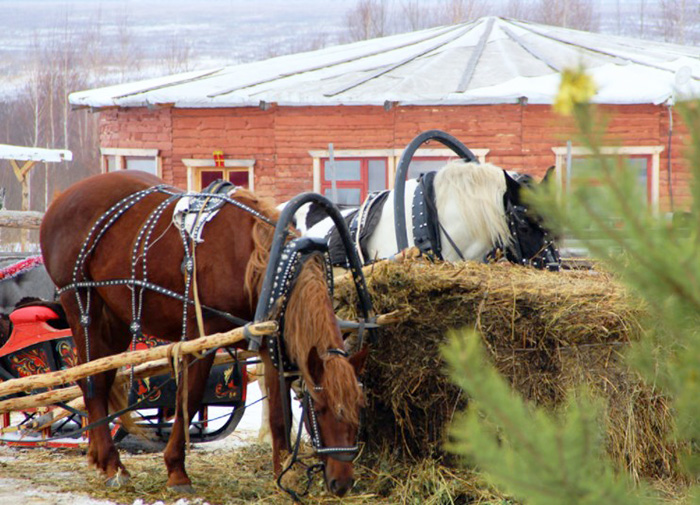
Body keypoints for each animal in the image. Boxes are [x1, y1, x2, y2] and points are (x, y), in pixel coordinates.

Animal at [39, 171, 366, 494]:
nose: (342, 484)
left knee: (102, 379)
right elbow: (190, 398)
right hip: (82, 304)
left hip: (116, 317)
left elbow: (278, 411)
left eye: (358, 410)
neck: (259, 261)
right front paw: (177, 472)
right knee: (92, 381)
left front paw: (284, 474)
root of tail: (61, 199)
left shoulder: (269, 341)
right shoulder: (202, 335)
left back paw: (99, 455)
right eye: (321, 409)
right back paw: (111, 465)